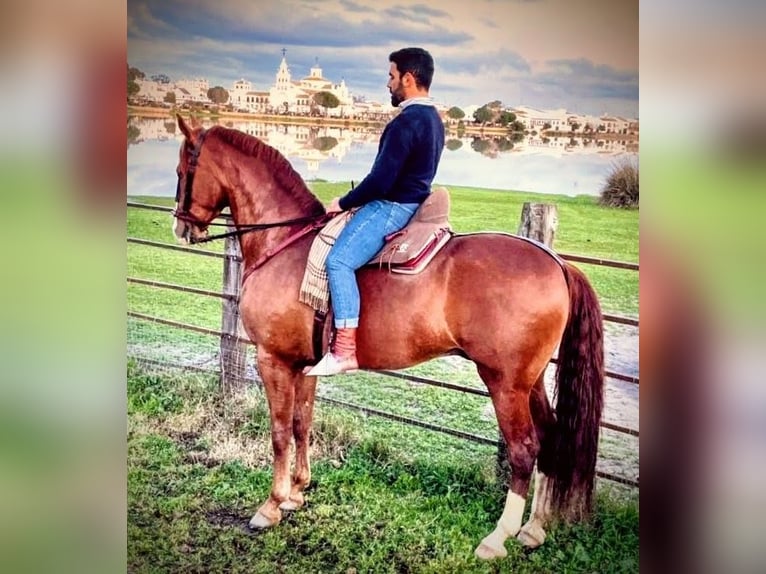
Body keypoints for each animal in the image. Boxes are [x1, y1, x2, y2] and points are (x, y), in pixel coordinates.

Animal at [172, 115, 604, 560]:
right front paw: (297, 492)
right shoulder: (304, 365)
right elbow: (302, 423)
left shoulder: (272, 359)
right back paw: (533, 529)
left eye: (183, 171)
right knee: (551, 440)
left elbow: (278, 433)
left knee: (524, 450)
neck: (285, 244)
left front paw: (271, 505)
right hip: (531, 381)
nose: (180, 226)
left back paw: (498, 537)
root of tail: (557, 264)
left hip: (506, 384)